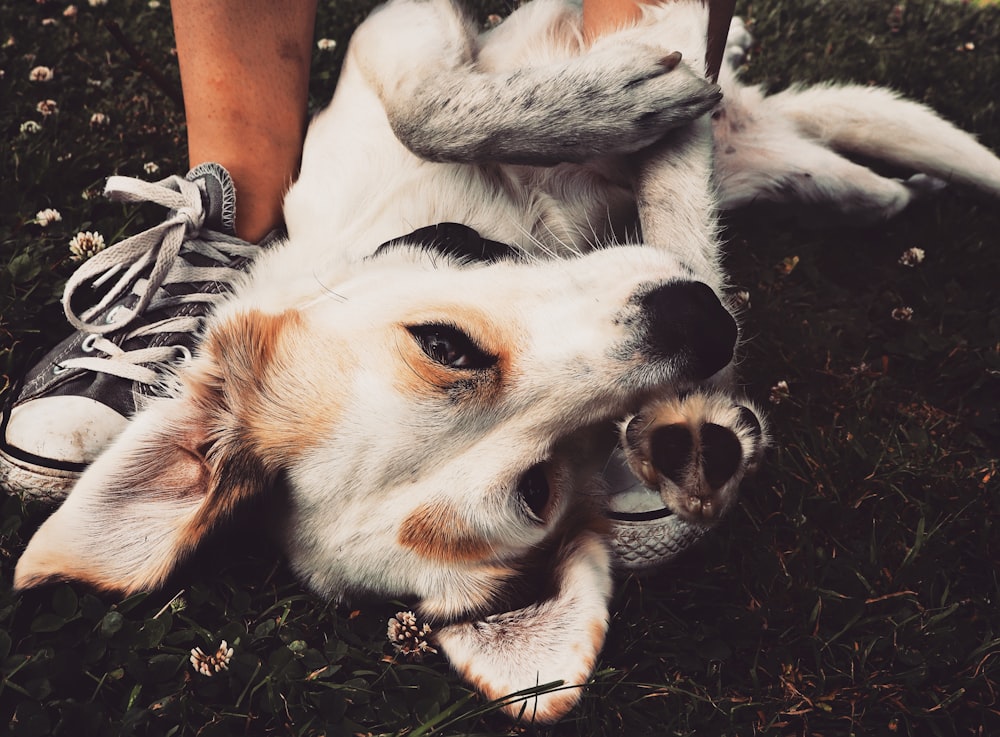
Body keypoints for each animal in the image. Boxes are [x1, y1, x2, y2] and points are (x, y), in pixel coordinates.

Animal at [13, 0, 1000, 720]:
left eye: (444, 344)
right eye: (537, 491)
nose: (701, 326)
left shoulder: (395, 32)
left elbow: (429, 111)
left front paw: (630, 96)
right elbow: (681, 220)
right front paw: (696, 434)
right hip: (793, 166)